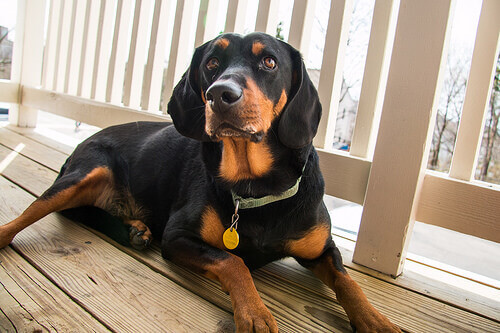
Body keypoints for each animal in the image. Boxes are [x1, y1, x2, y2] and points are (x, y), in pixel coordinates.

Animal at [0, 32, 398, 330]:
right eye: (211, 64)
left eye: (269, 62)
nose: (220, 94)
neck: (255, 187)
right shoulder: (178, 237)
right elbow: (233, 261)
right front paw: (255, 314)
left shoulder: (323, 249)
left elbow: (349, 282)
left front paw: (377, 321)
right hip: (83, 173)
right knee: (25, 216)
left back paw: (134, 228)